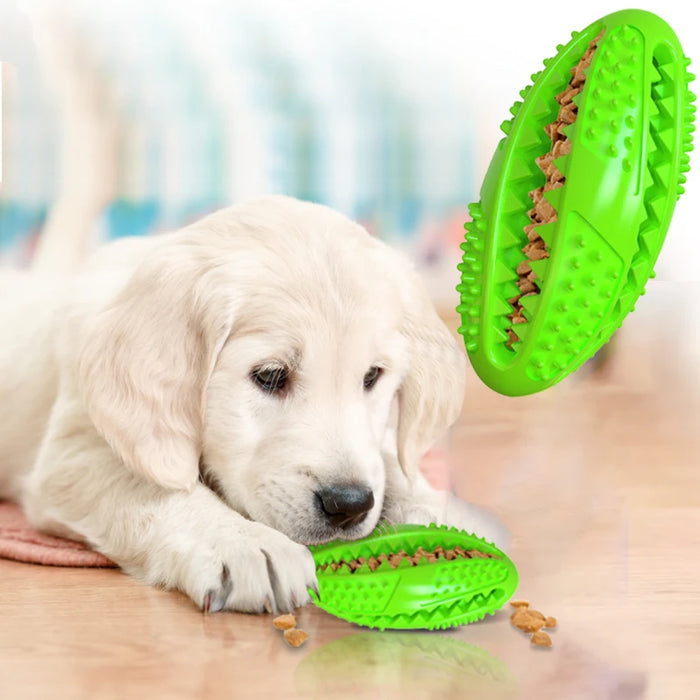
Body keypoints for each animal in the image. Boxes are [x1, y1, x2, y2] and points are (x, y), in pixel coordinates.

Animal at [0, 196, 506, 612]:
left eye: (372, 377)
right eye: (270, 376)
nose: (348, 505)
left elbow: (388, 467)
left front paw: (443, 509)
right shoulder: (72, 454)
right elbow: (158, 489)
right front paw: (244, 545)